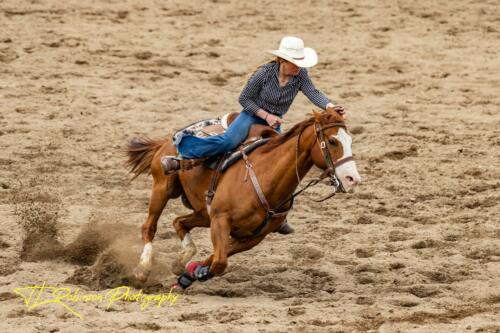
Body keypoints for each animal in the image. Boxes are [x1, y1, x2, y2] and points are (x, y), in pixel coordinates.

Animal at [126, 107, 360, 286]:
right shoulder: (221, 219)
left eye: (350, 140)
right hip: (163, 189)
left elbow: (217, 258)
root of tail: (169, 139)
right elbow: (220, 261)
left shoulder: (252, 237)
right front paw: (195, 272)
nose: (352, 179)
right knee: (149, 227)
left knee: (179, 221)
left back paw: (180, 261)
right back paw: (142, 268)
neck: (265, 179)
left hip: (203, 212)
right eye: (332, 141)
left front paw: (191, 273)